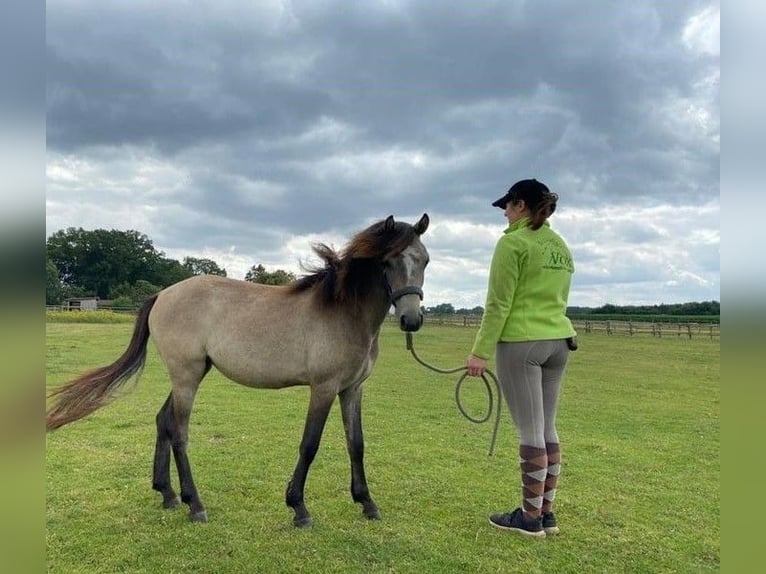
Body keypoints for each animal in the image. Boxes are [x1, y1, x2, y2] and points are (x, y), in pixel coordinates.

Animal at [46, 214, 430, 527]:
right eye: (388, 261)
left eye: (424, 260)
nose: (411, 320)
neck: (343, 311)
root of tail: (162, 295)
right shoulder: (323, 388)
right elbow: (309, 445)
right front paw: (299, 508)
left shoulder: (352, 389)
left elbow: (357, 444)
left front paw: (367, 503)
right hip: (186, 376)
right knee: (178, 430)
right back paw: (195, 505)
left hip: (191, 373)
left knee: (162, 421)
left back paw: (168, 494)